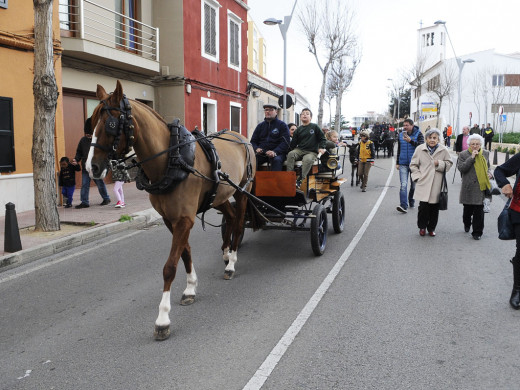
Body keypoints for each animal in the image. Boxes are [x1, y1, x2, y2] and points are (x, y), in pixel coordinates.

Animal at [88, 80, 256, 340]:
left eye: (111, 124)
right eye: (91, 121)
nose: (91, 167)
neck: (172, 160)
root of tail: (241, 137)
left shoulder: (184, 219)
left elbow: (169, 267)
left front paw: (163, 318)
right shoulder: (170, 219)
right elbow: (185, 253)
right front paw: (190, 288)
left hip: (243, 191)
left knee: (238, 224)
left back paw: (231, 263)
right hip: (219, 196)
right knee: (229, 218)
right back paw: (227, 252)